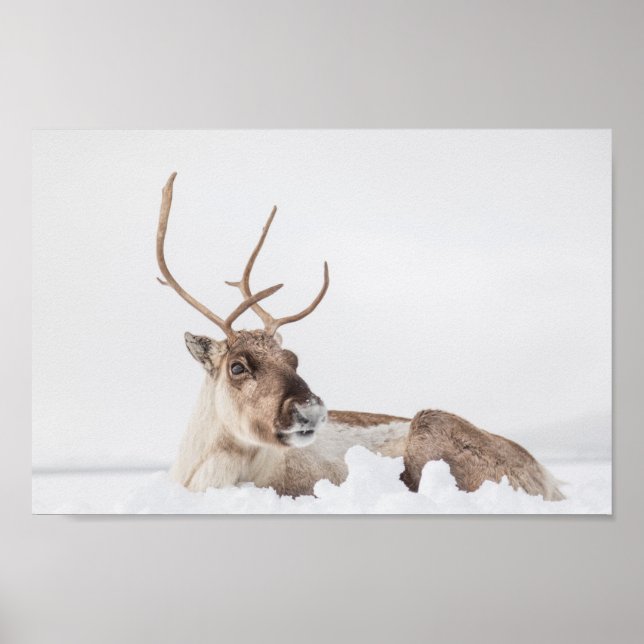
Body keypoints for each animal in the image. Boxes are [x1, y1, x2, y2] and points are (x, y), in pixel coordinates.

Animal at [157, 173, 564, 501]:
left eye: (293, 359)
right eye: (237, 367)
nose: (310, 408)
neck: (203, 471)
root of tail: (548, 477)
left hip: (431, 423)